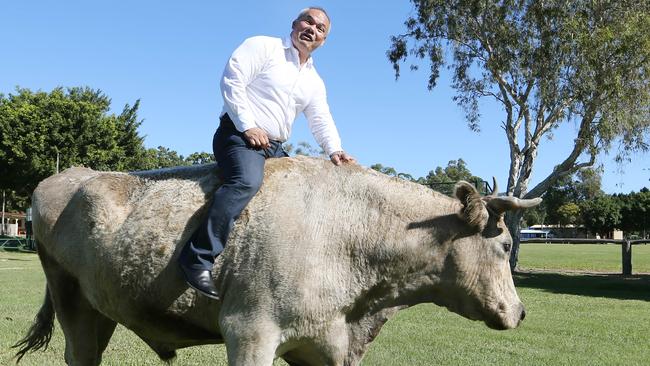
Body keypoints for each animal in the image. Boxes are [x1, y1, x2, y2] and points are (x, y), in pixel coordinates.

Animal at [16, 156, 540, 364]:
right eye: (505, 245)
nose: (521, 312)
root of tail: (67, 175)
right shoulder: (249, 332)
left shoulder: (323, 346)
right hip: (71, 304)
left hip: (98, 308)